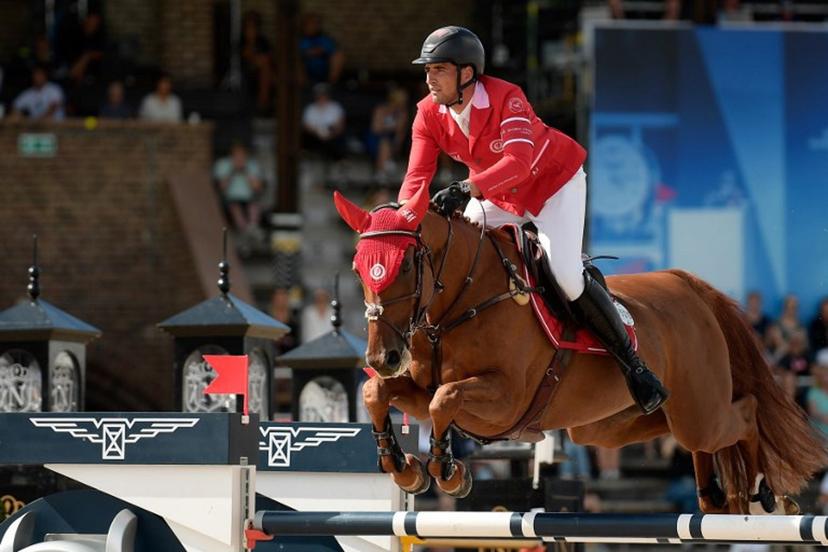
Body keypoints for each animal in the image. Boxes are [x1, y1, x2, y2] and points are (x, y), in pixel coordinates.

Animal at [333, 185, 826, 514]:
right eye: (358, 268)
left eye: (406, 264)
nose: (381, 358)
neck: (463, 299)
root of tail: (687, 284)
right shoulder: (419, 387)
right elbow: (379, 393)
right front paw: (405, 467)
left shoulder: (504, 400)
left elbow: (444, 399)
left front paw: (447, 472)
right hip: (607, 428)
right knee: (681, 435)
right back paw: (715, 495)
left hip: (700, 411)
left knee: (744, 414)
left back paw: (766, 492)